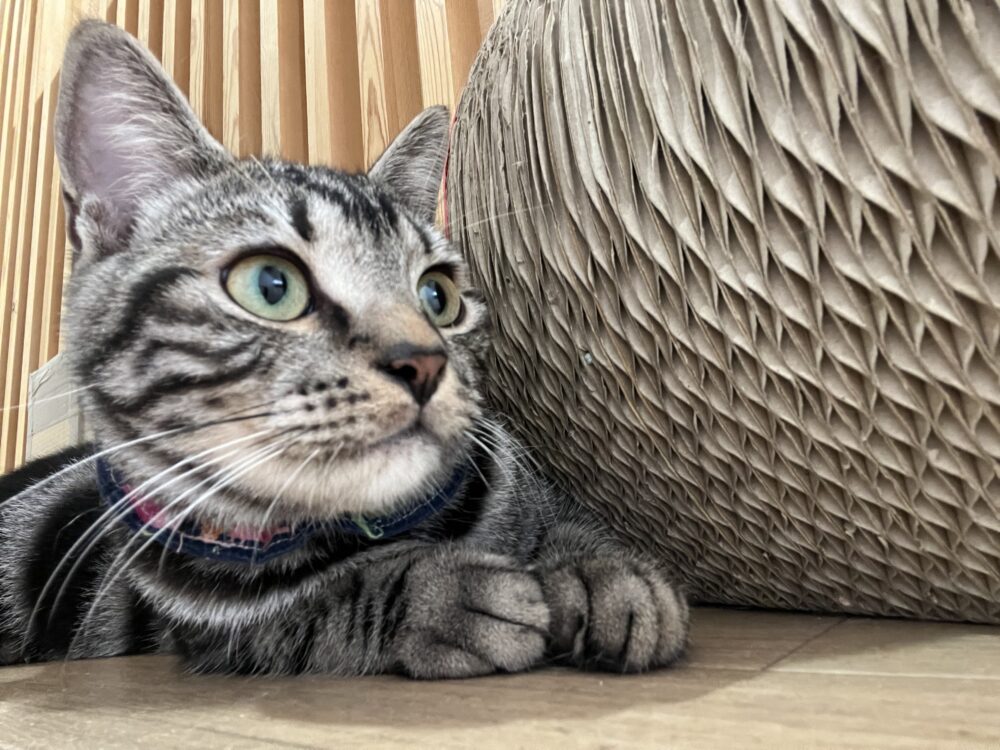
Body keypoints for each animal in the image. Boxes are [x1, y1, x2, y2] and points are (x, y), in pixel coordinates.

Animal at [0, 20, 688, 678]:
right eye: (271, 285)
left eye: (438, 295)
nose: (424, 362)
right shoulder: (217, 631)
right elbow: (323, 607)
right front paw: (438, 593)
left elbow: (565, 518)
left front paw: (601, 574)